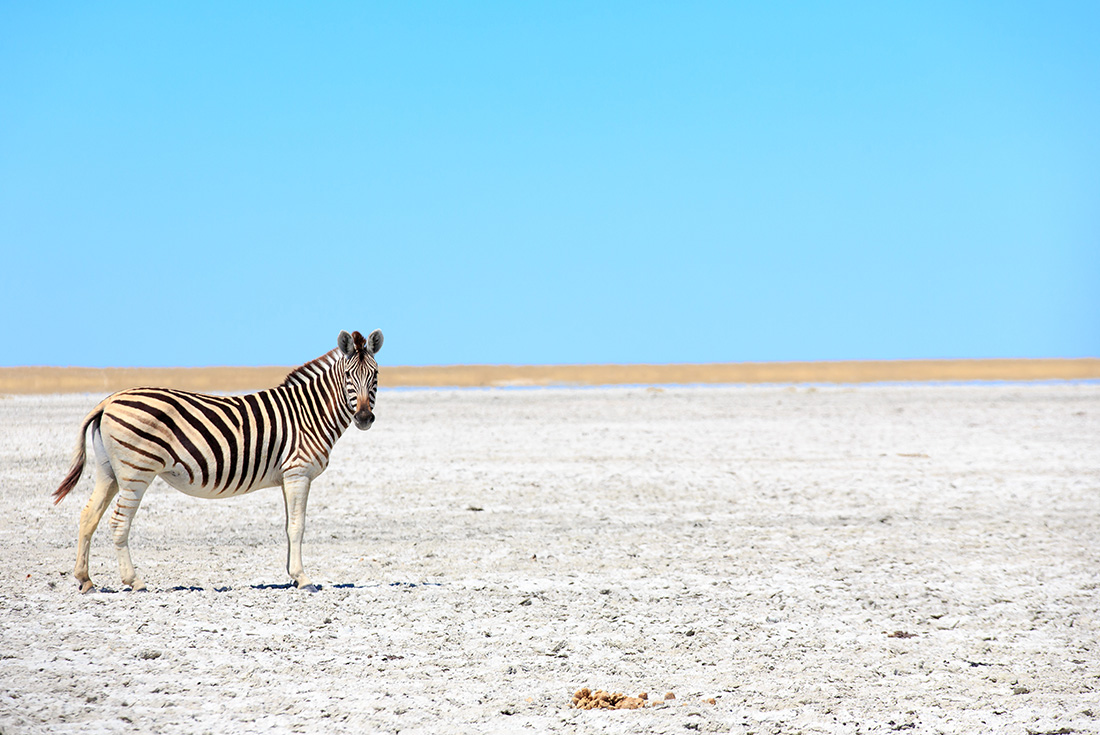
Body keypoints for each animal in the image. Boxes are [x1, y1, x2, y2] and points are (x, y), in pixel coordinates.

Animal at [52, 329, 383, 593]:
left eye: (375, 376)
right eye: (348, 377)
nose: (365, 418)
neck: (309, 412)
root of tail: (108, 400)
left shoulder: (287, 477)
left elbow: (288, 526)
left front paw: (292, 575)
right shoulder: (298, 473)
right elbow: (297, 527)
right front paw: (303, 579)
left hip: (108, 470)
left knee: (88, 515)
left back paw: (85, 580)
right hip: (137, 471)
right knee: (119, 521)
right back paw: (134, 581)